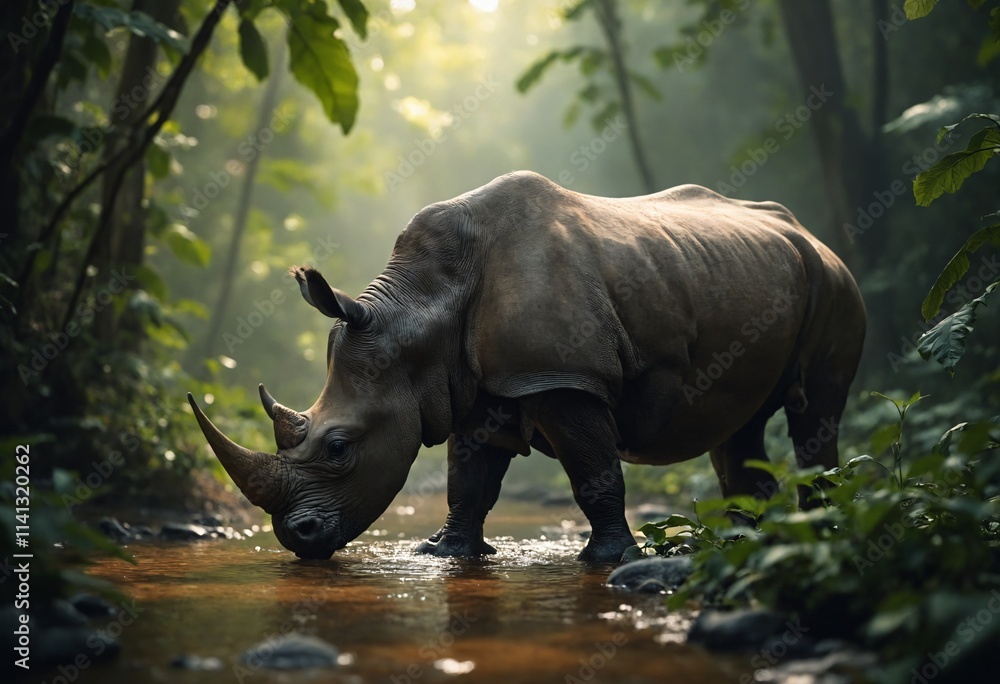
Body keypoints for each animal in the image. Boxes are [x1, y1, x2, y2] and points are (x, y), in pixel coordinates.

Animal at [189, 171, 865, 563]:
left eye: (338, 447)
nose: (294, 538)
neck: (421, 308)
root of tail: (810, 233)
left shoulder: (559, 377)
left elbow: (593, 470)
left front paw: (612, 561)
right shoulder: (470, 387)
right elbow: (469, 479)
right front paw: (446, 554)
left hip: (834, 283)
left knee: (815, 412)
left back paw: (820, 527)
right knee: (738, 427)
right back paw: (755, 540)